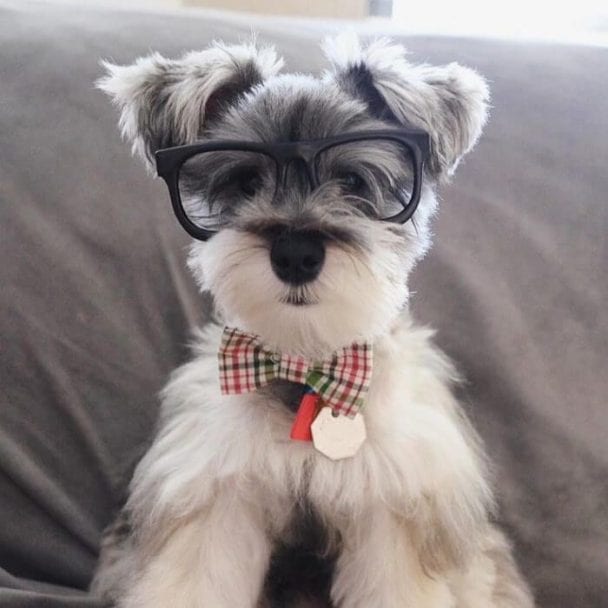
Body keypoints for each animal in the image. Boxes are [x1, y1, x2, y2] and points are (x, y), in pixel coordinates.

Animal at [92, 32, 536, 608]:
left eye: (352, 180)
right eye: (245, 181)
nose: (296, 253)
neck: (307, 366)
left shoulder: (395, 504)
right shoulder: (214, 494)